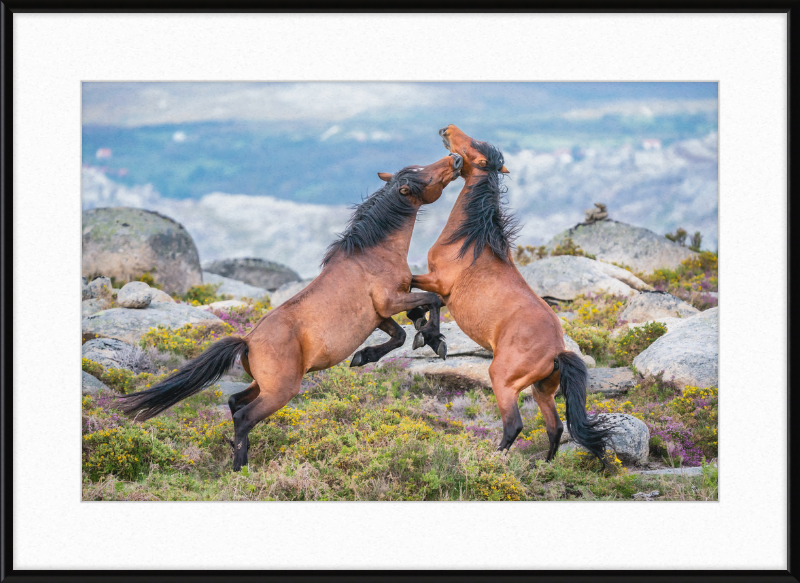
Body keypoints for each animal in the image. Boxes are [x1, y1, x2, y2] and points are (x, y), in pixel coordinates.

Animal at [115, 153, 460, 472]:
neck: (374, 253)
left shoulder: (379, 315)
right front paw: (434, 339)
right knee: (244, 416)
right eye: (424, 175)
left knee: (233, 402)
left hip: (262, 385)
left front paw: (368, 355)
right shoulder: (390, 301)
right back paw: (240, 468)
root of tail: (247, 342)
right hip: (281, 390)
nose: (455, 159)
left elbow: (402, 332)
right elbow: (432, 300)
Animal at [410, 126, 608, 466]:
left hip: (502, 380)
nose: (447, 130)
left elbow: (417, 292)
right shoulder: (442, 291)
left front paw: (429, 337)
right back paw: (544, 466)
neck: (470, 241)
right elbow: (426, 302)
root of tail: (557, 352)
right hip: (542, 391)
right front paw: (430, 338)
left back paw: (492, 460)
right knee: (555, 427)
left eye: (473, 146)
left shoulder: (438, 282)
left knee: (514, 424)